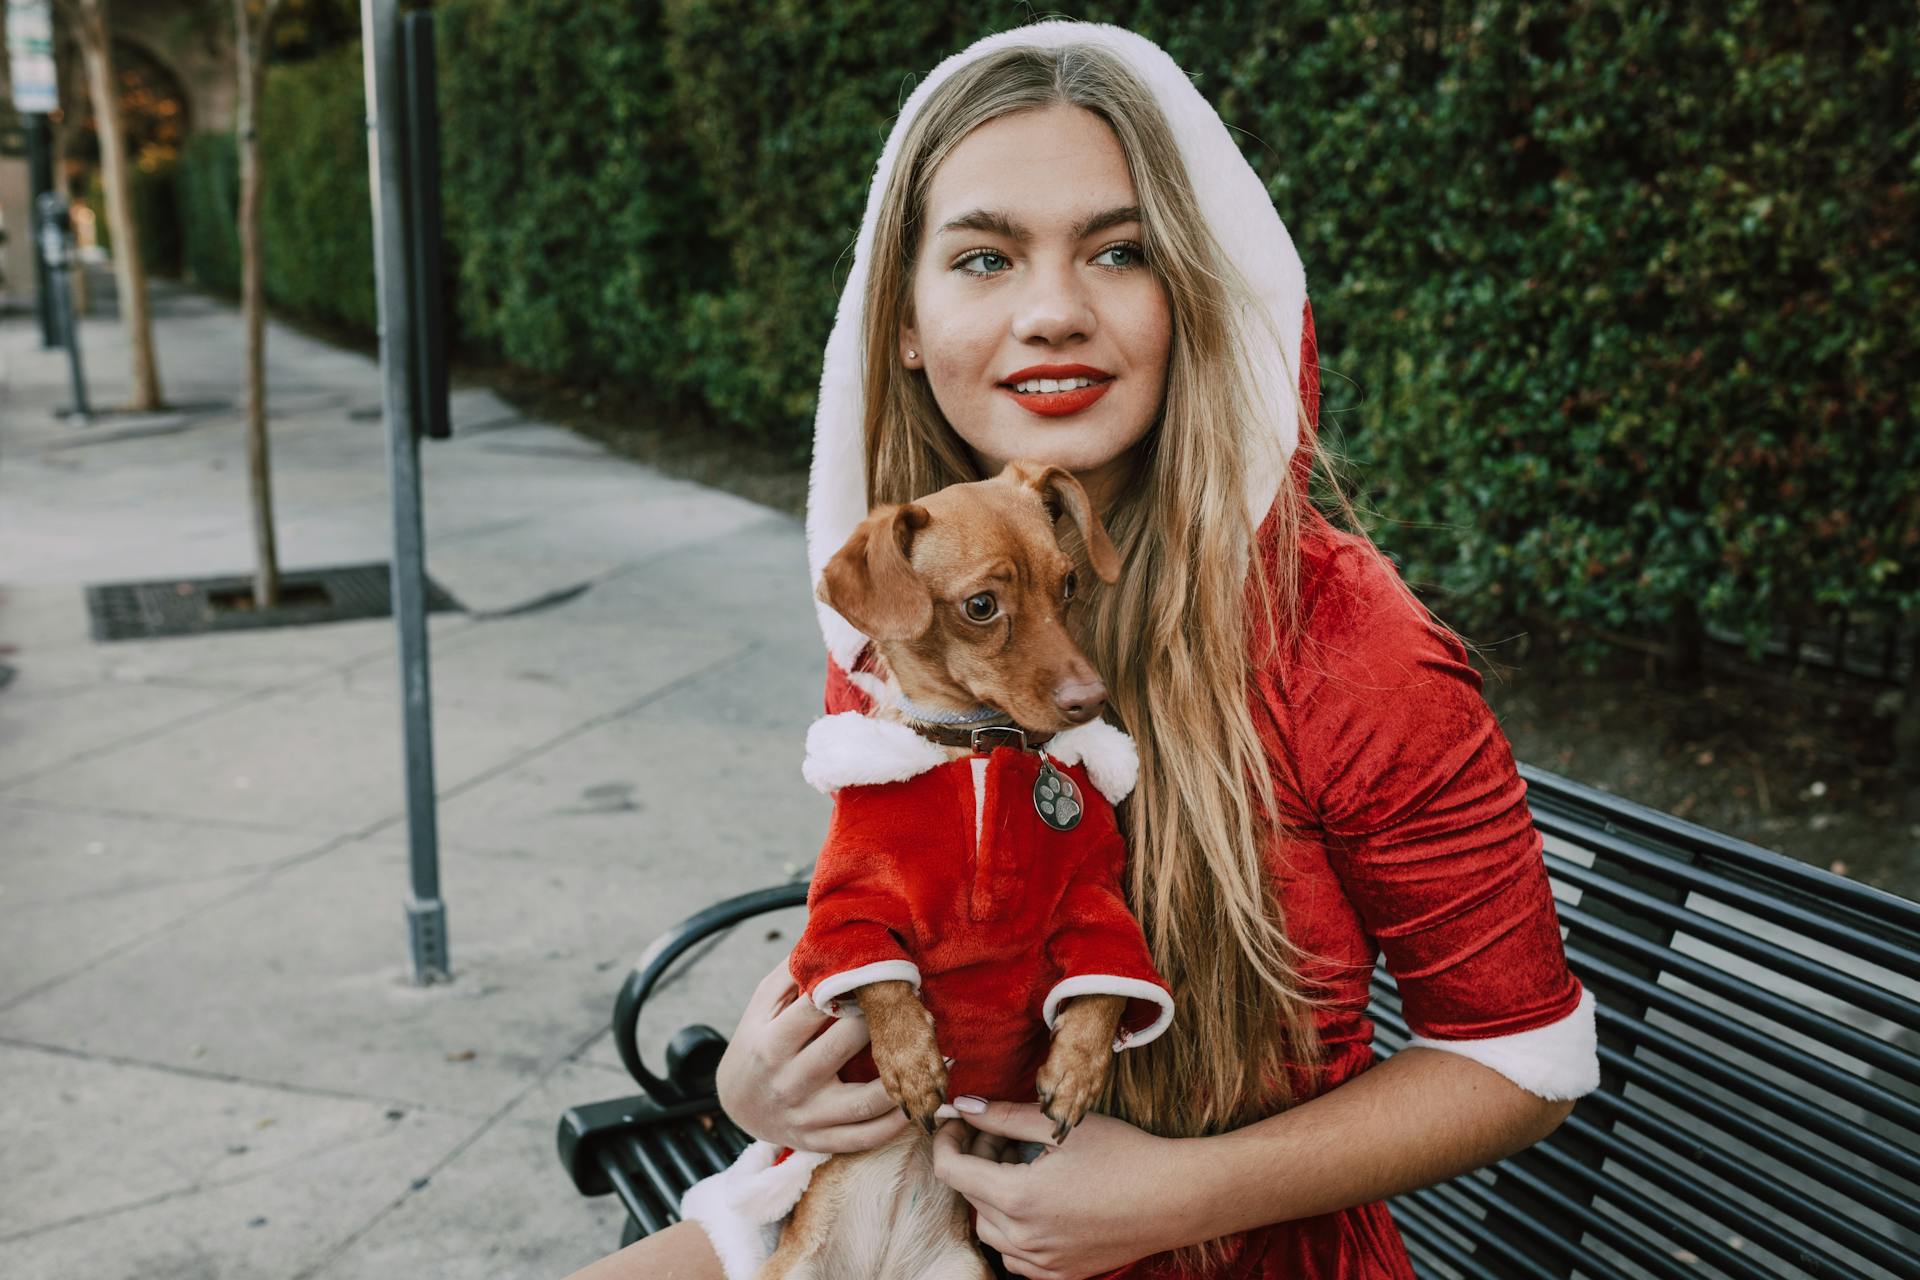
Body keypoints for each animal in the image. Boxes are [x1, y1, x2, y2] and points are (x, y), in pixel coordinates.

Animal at [752, 462, 1136, 1280]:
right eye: (981, 607)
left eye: (1068, 585)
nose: (1092, 702)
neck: (981, 751)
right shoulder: (848, 904)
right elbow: (880, 977)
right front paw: (911, 1061)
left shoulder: (1095, 896)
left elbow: (1106, 986)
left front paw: (1078, 1067)